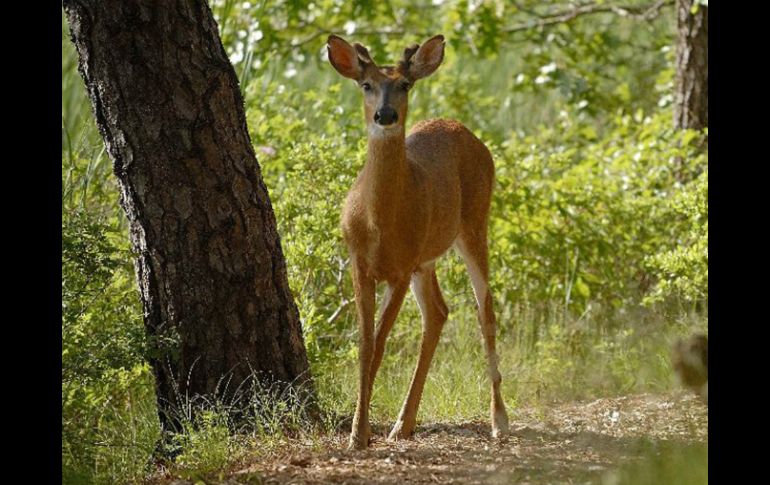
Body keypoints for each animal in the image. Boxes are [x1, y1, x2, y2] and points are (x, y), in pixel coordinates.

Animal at [326, 35, 510, 450]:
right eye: (366, 85)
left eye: (404, 85)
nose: (385, 115)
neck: (379, 223)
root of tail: (463, 128)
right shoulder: (360, 262)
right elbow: (365, 345)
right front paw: (358, 432)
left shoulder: (399, 268)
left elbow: (379, 344)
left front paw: (360, 432)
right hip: (426, 258)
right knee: (438, 311)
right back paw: (403, 424)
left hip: (473, 223)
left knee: (485, 310)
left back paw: (499, 421)